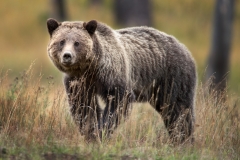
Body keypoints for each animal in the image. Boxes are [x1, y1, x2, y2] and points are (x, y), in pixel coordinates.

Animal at [46, 18, 196, 143]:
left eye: (77, 43)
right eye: (61, 41)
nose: (67, 56)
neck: (90, 69)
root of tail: (183, 47)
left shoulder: (112, 74)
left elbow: (118, 101)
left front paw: (102, 132)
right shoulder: (78, 82)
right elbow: (83, 106)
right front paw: (90, 132)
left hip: (171, 77)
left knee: (177, 108)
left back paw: (183, 138)